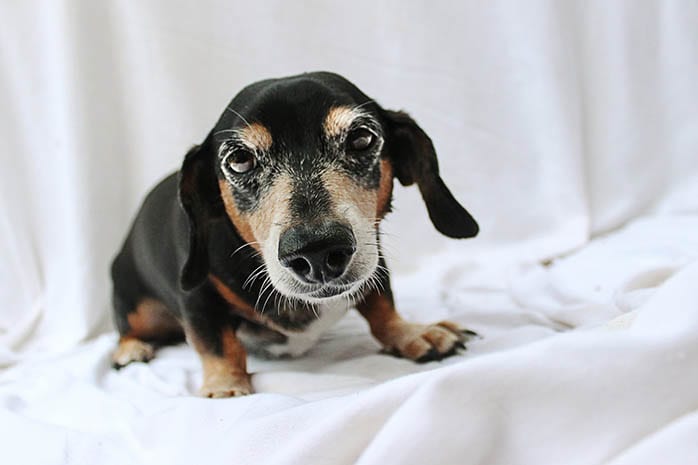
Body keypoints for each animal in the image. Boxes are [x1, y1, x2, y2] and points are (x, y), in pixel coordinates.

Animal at [110, 71, 478, 396]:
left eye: (362, 138)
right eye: (240, 159)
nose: (318, 253)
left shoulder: (376, 262)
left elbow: (382, 306)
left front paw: (414, 334)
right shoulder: (197, 295)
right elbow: (217, 344)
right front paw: (224, 387)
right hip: (135, 305)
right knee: (127, 329)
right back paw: (131, 350)